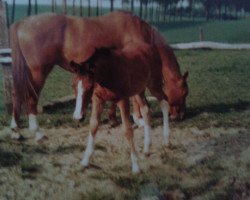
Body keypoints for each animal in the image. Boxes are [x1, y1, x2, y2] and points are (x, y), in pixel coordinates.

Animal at [9, 11, 188, 142]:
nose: (179, 116)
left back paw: (15, 130)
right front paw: (139, 120)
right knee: (31, 97)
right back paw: (37, 132)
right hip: (38, 72)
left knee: (17, 94)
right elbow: (137, 95)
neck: (137, 30)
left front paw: (114, 119)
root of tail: (21, 23)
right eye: (185, 92)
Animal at [69, 44, 169, 173]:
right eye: (73, 85)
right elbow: (94, 125)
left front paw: (135, 166)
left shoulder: (123, 100)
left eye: (90, 86)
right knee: (146, 110)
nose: (78, 117)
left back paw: (166, 141)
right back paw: (147, 148)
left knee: (164, 103)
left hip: (154, 84)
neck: (107, 73)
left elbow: (127, 129)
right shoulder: (98, 99)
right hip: (138, 90)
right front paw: (85, 161)